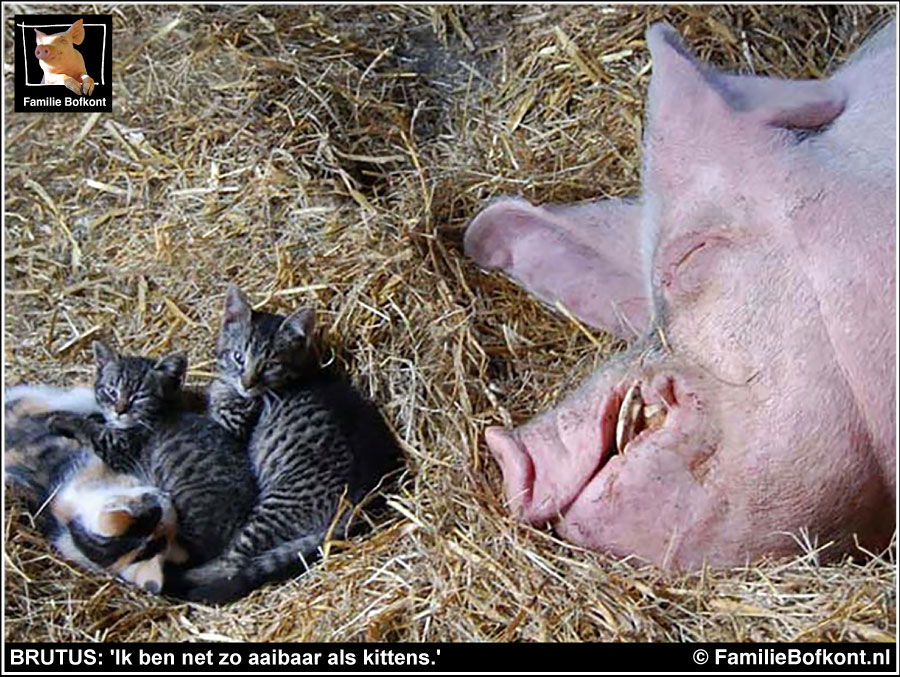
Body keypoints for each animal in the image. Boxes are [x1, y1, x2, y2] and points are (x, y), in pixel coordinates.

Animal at [169, 286, 400, 604]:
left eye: (269, 365)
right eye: (238, 356)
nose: (247, 383)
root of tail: (363, 501)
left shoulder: (229, 429)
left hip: (275, 506)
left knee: (232, 562)